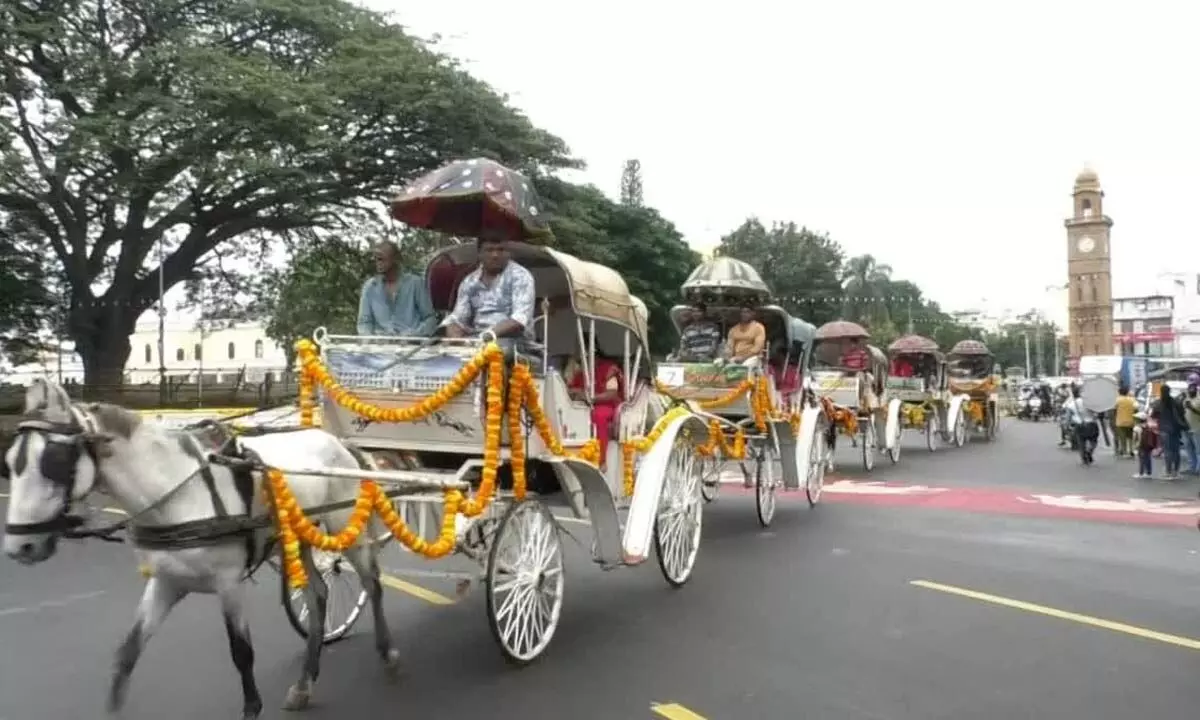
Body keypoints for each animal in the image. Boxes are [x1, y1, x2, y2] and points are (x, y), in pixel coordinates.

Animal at [1, 379, 403, 715]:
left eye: (54, 462)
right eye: (9, 464)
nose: (21, 546)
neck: (179, 492)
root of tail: (337, 442)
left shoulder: (228, 584)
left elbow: (242, 654)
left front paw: (252, 707)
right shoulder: (166, 583)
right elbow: (127, 653)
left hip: (343, 526)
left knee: (372, 582)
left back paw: (388, 652)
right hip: (299, 538)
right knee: (319, 594)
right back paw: (304, 684)